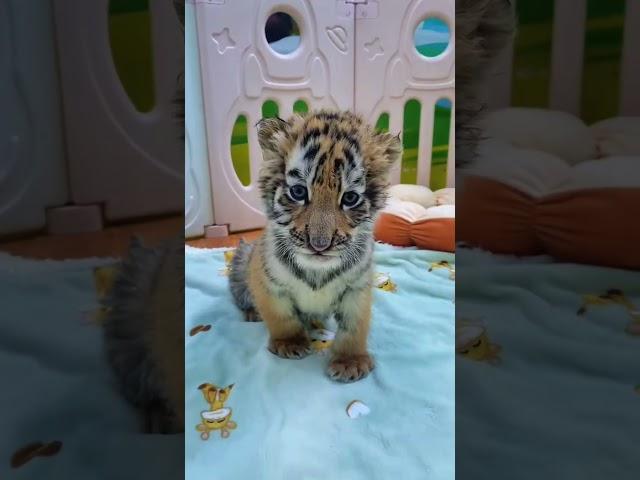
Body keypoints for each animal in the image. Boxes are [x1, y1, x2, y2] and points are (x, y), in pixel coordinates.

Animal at [230, 109, 400, 382]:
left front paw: (350, 361)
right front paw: (290, 343)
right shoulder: (269, 285)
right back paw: (252, 313)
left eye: (350, 198)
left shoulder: (357, 288)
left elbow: (355, 326)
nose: (319, 244)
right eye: (299, 192)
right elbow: (281, 317)